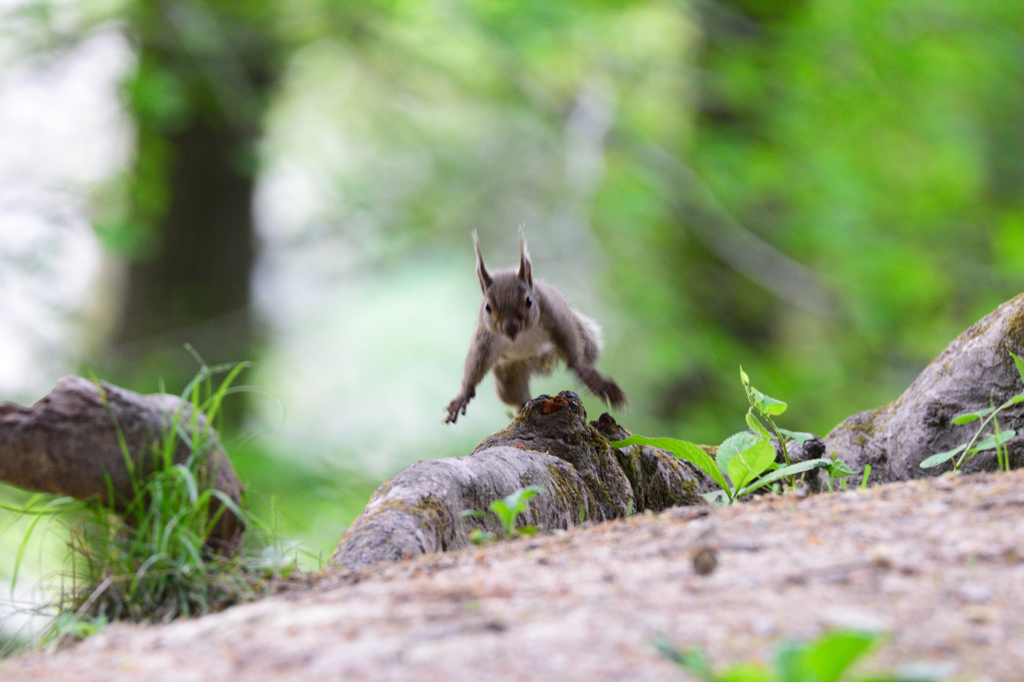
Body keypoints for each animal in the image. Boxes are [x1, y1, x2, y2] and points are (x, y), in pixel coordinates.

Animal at [446, 231, 626, 421]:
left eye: (529, 301)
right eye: (487, 307)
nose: (510, 329)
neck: (523, 336)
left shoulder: (555, 317)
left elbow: (570, 344)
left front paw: (587, 374)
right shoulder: (486, 338)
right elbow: (476, 363)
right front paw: (463, 396)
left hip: (583, 335)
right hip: (509, 372)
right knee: (514, 395)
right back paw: (522, 408)